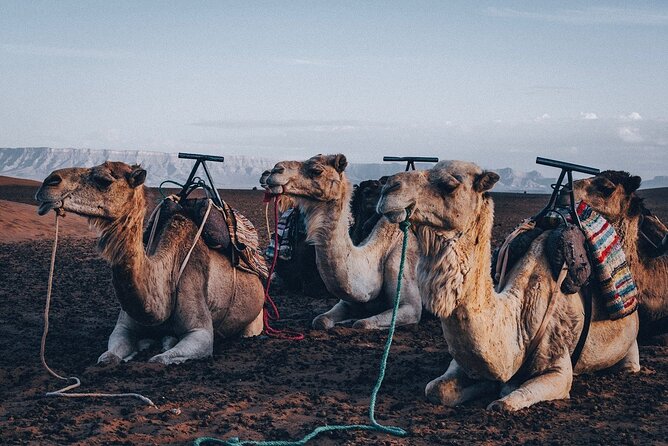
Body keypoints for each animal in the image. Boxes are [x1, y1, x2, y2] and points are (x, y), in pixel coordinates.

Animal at [35, 161, 265, 365]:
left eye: (104, 180)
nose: (49, 182)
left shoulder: (200, 331)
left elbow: (159, 360)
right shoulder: (123, 327)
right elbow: (107, 357)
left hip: (256, 318)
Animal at [264, 154, 422, 329]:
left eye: (316, 170)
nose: (275, 170)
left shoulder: (410, 306)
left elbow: (361, 324)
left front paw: (352, 321)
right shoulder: (346, 302)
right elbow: (320, 320)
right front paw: (345, 320)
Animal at [376, 160, 639, 411]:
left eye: (449, 184)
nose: (388, 186)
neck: (519, 317)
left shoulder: (558, 368)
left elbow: (505, 402)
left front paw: (504, 391)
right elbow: (435, 389)